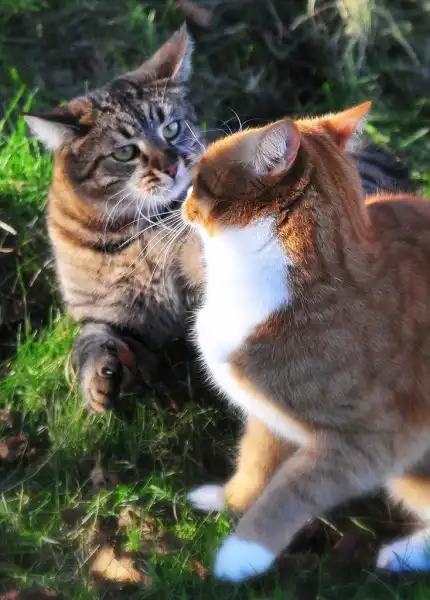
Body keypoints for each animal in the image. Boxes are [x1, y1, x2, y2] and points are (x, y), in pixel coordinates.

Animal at [25, 24, 412, 413]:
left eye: (172, 129)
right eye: (124, 152)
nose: (172, 166)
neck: (132, 231)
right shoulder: (105, 315)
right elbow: (90, 342)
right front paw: (99, 382)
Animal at [182, 103, 430, 582]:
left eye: (201, 177)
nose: (181, 196)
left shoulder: (369, 442)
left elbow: (290, 492)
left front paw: (240, 554)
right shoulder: (267, 416)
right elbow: (255, 462)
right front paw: (229, 501)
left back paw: (403, 553)